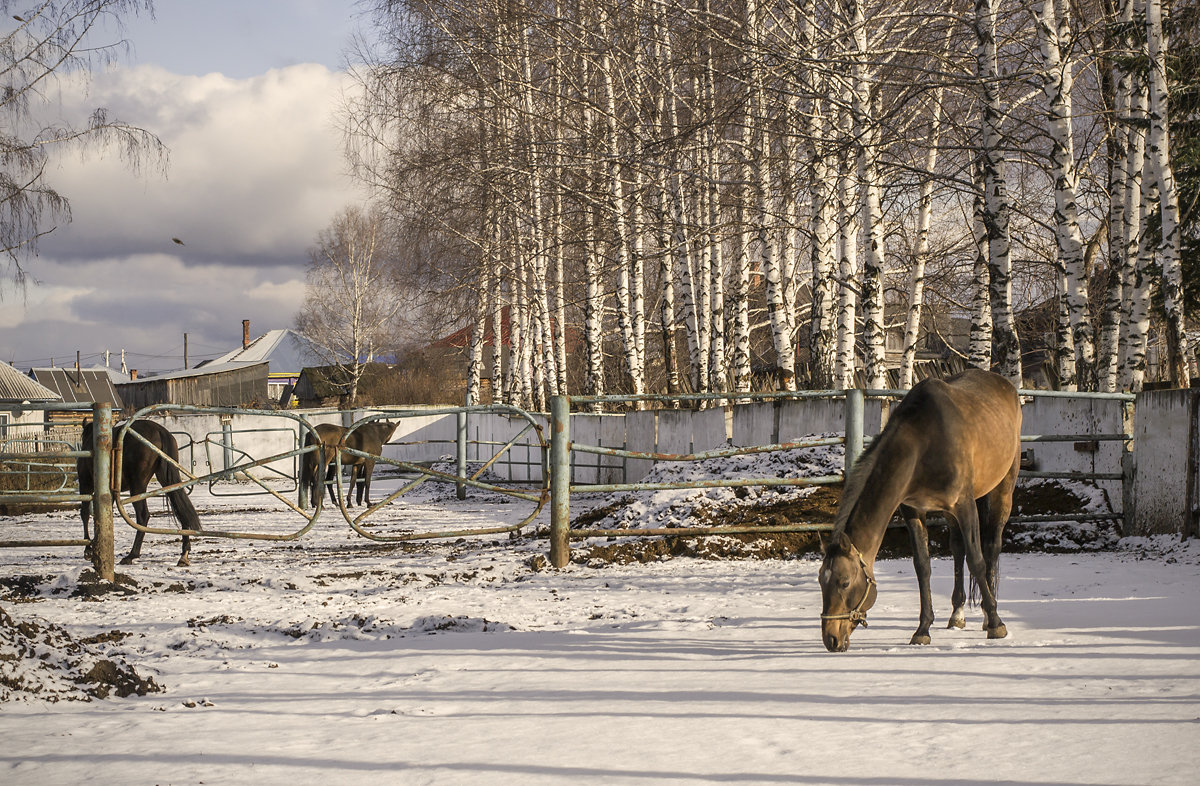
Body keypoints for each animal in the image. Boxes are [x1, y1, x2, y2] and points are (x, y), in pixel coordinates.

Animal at [77, 422, 200, 568]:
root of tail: (160, 431)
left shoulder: (85, 485)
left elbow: (85, 513)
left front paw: (88, 549)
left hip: (137, 486)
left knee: (143, 516)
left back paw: (131, 555)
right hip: (168, 480)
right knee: (181, 508)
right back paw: (184, 554)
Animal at [820, 372, 1027, 652]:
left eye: (844, 582)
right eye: (821, 581)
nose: (830, 639)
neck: (923, 445)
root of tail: (1004, 384)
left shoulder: (965, 504)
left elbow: (977, 560)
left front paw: (996, 623)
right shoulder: (913, 510)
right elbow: (923, 566)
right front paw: (922, 629)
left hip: (1002, 488)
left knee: (991, 547)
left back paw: (987, 614)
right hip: (950, 513)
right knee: (957, 548)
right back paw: (957, 615)